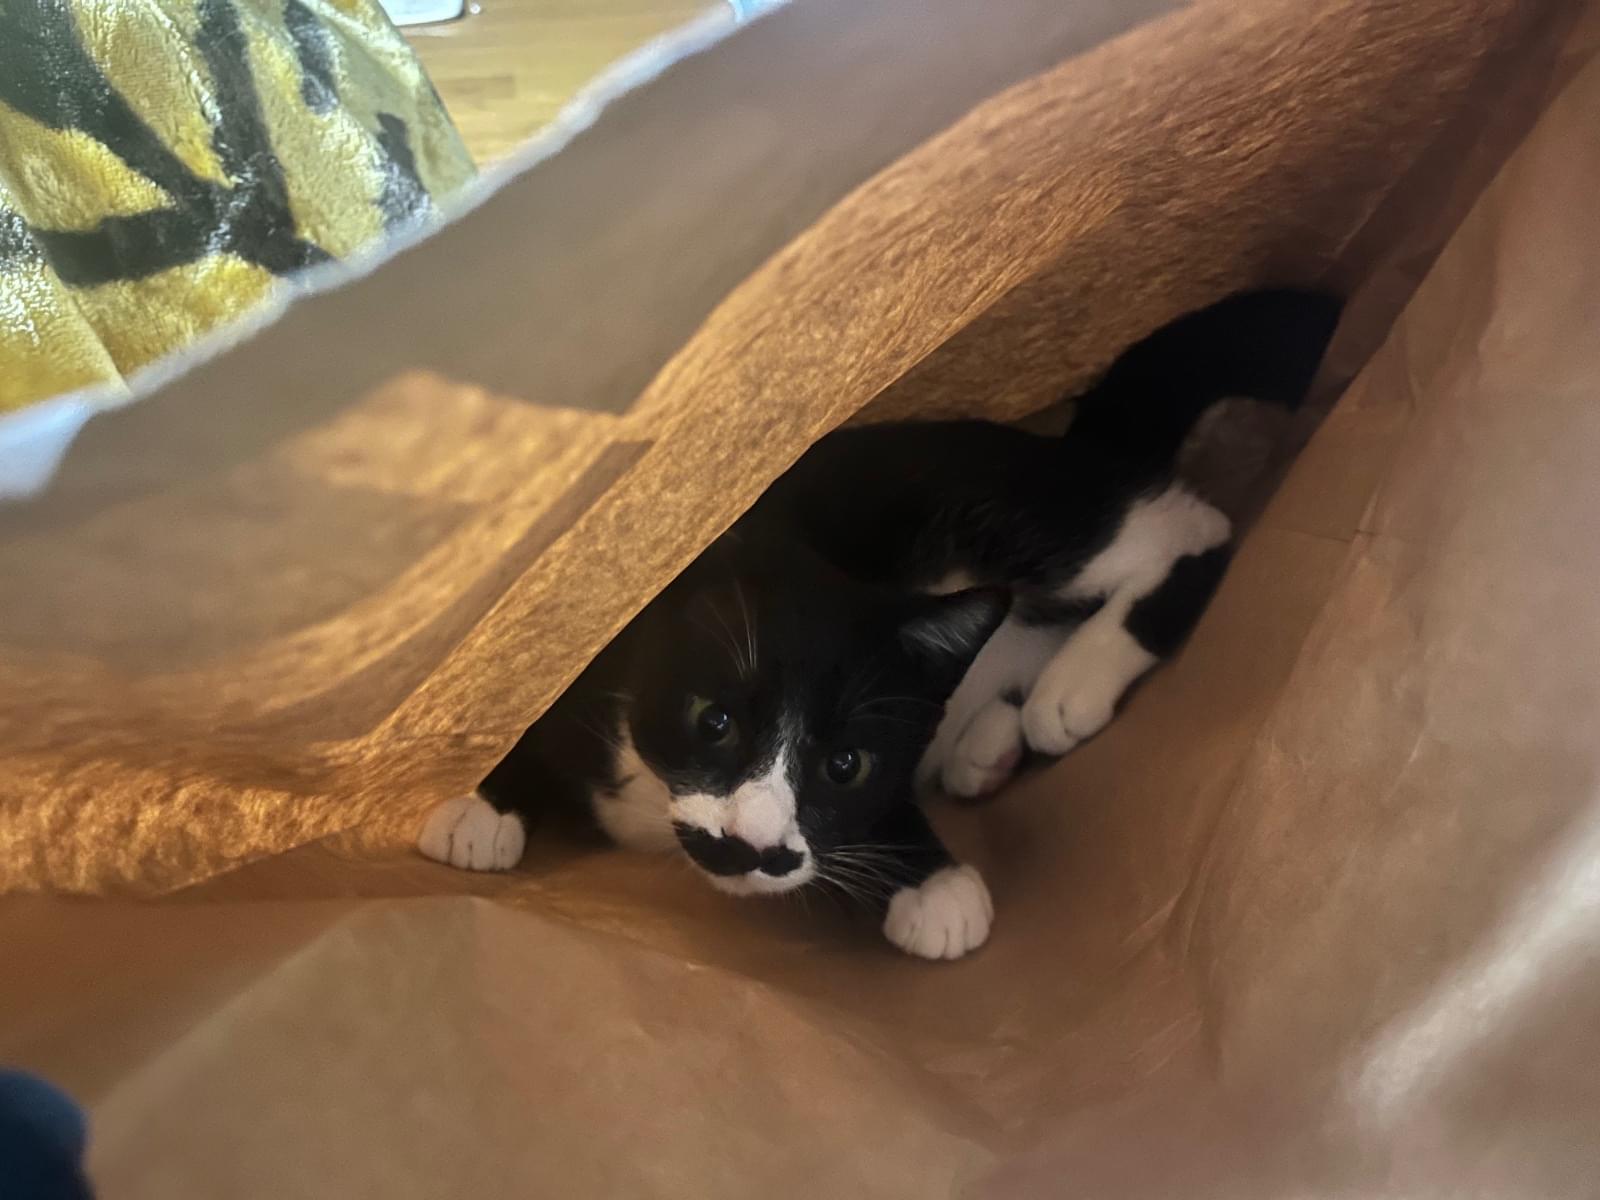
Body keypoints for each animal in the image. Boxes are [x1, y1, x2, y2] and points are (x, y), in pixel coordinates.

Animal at [418, 289, 1343, 960]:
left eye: (845, 766)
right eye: (713, 721)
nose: (757, 848)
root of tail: (1061, 443)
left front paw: (934, 884)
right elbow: (534, 705)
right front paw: (475, 804)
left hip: (988, 509)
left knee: (1189, 528)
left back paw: (1069, 689)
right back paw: (990, 743)